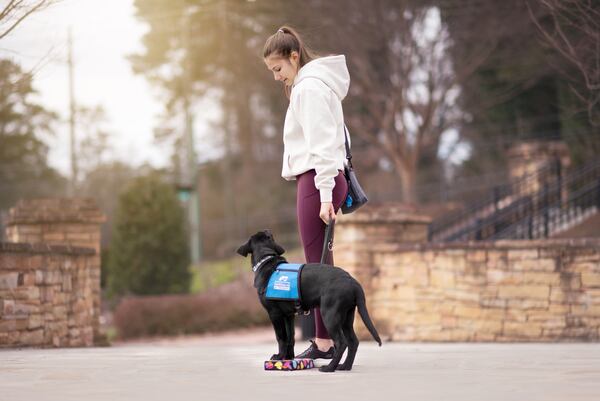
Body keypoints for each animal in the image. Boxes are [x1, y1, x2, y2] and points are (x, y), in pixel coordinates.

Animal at [238, 230, 382, 370]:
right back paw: (345, 366)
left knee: (341, 343)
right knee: (353, 342)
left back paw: (329, 367)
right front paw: (288, 358)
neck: (266, 260)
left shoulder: (274, 313)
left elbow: (281, 337)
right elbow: (291, 337)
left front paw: (279, 357)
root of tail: (352, 281)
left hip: (330, 315)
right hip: (347, 316)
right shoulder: (289, 315)